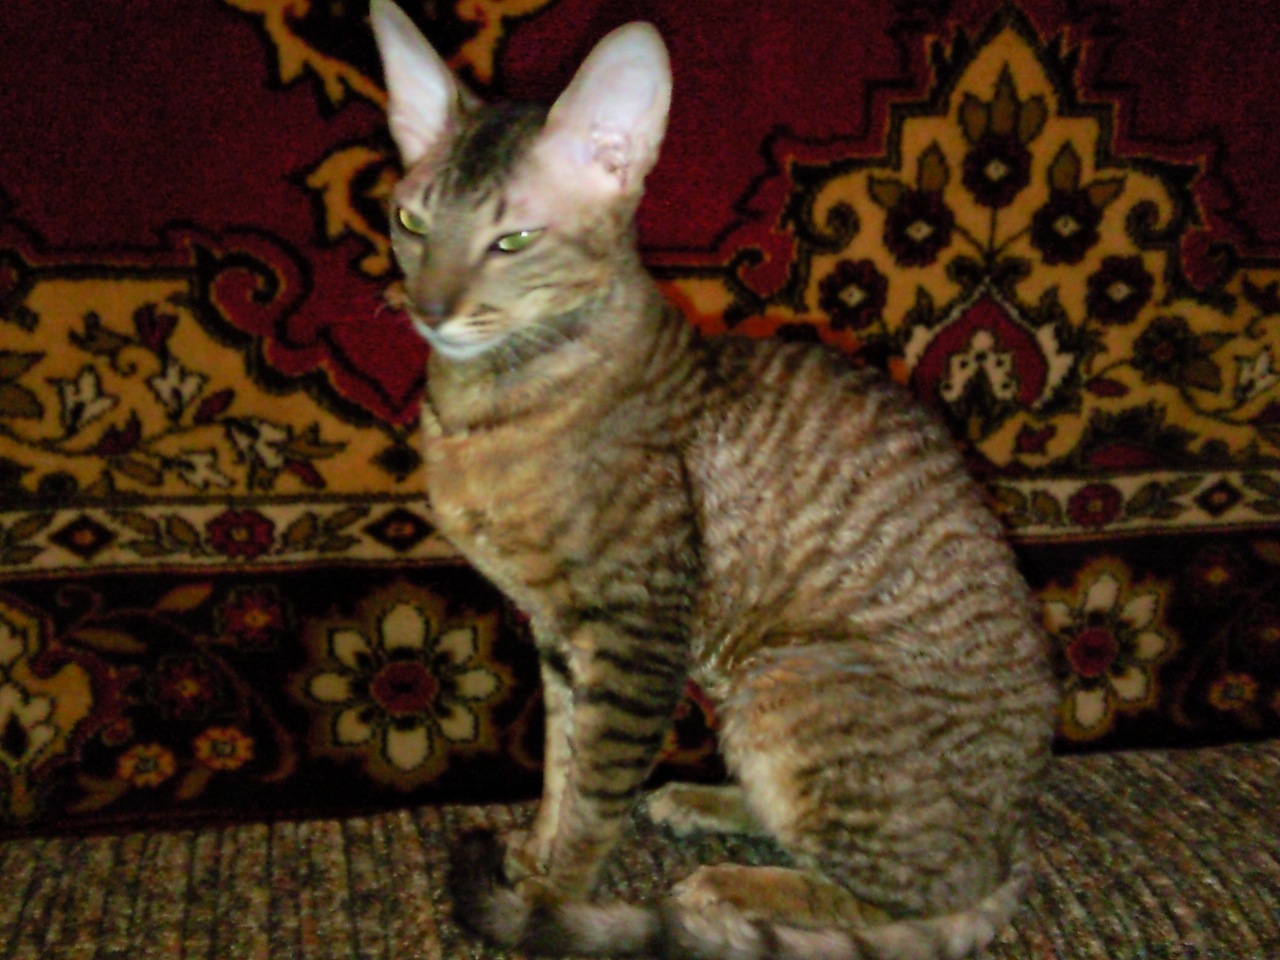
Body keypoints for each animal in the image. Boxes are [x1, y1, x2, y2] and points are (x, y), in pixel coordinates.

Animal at [369, 2, 1059, 957]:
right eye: (411, 223)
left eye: (512, 240)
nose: (429, 309)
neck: (487, 403)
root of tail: (1015, 841)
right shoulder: (558, 635)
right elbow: (561, 764)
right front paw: (537, 850)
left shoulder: (635, 630)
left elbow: (595, 793)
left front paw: (552, 898)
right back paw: (704, 804)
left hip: (788, 682)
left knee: (907, 898)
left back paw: (730, 888)